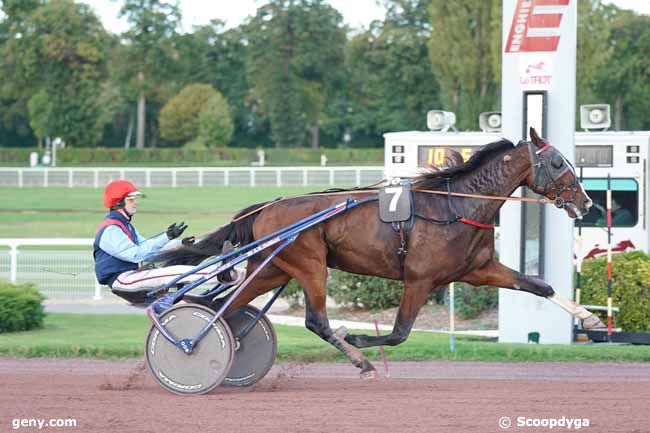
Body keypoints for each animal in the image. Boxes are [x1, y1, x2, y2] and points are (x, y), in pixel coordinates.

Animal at [154, 127, 604, 374]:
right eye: (559, 163)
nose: (585, 203)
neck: (456, 206)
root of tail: (267, 206)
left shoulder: (478, 270)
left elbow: (539, 285)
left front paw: (591, 320)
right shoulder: (419, 279)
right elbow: (399, 333)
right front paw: (355, 335)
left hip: (273, 268)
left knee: (225, 310)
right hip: (311, 265)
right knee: (314, 320)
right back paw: (358, 360)